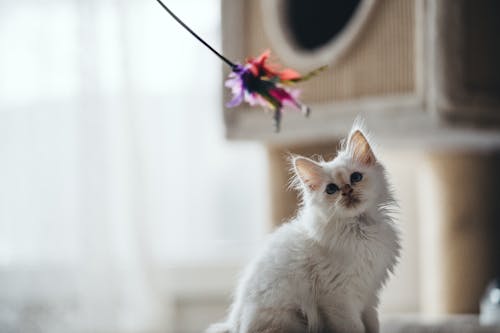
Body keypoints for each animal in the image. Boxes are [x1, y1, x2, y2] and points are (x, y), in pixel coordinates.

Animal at [206, 122, 398, 332]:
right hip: (290, 318)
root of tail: (233, 325)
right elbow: (355, 328)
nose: (347, 190)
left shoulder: (369, 294)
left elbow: (373, 325)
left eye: (356, 177)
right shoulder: (339, 298)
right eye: (331, 189)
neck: (361, 231)